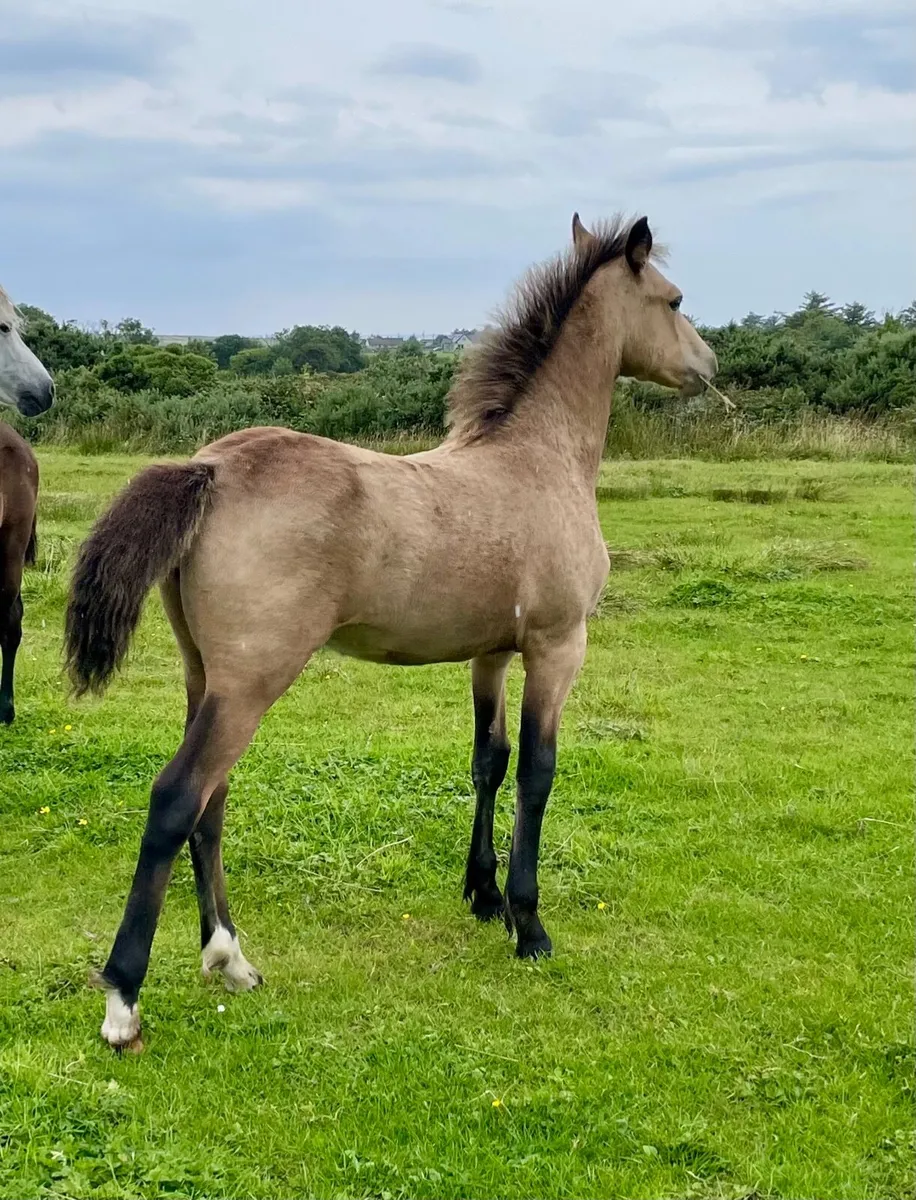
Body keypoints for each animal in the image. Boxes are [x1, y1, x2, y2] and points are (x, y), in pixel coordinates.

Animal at [65, 214, 718, 1052]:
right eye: (674, 300)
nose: (708, 367)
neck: (538, 459)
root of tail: (210, 467)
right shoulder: (557, 647)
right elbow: (537, 772)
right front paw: (529, 924)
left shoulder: (489, 654)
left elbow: (488, 761)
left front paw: (483, 896)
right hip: (251, 683)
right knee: (177, 799)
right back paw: (125, 998)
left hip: (203, 677)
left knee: (212, 801)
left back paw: (230, 958)